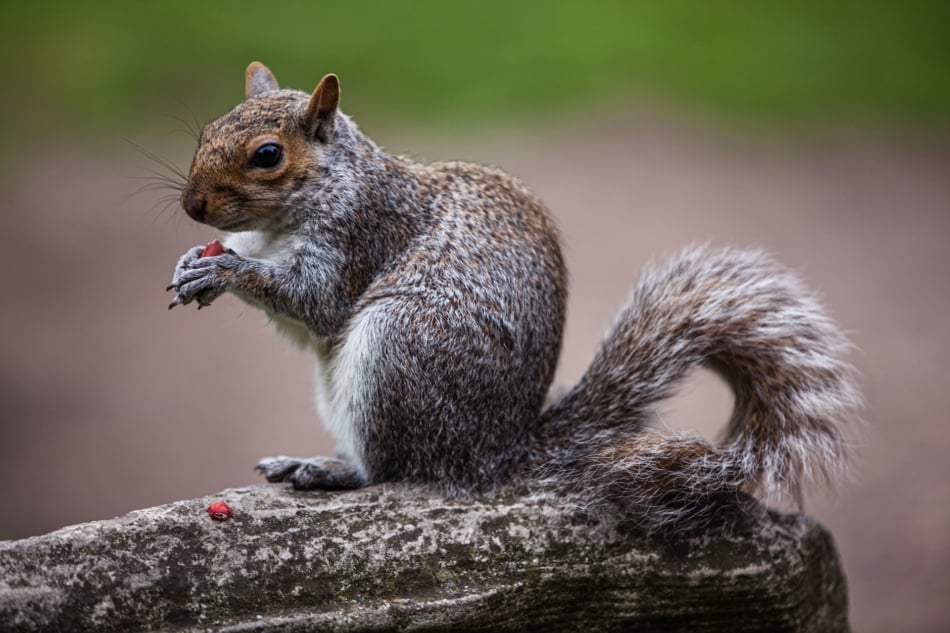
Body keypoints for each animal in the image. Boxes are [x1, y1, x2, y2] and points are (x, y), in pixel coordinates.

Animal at [169, 63, 864, 528]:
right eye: (206, 130)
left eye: (267, 155)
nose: (193, 206)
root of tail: (499, 454)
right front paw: (195, 262)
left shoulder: (361, 235)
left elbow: (314, 302)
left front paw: (226, 273)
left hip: (396, 351)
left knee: (398, 467)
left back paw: (336, 469)